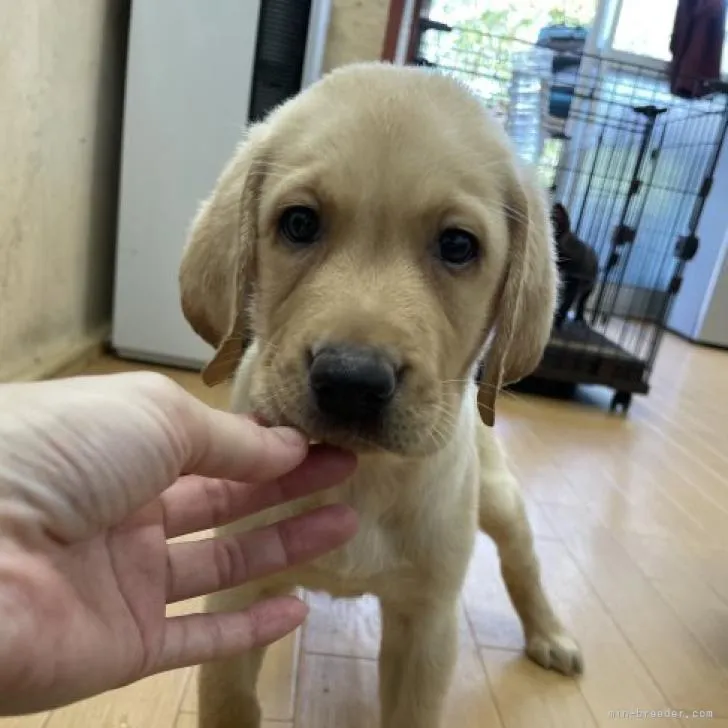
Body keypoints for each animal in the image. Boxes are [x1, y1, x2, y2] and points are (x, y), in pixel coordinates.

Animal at [179, 62, 584, 728]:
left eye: (457, 245)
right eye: (299, 224)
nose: (351, 382)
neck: (361, 477)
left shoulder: (426, 628)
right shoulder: (237, 598)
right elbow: (231, 701)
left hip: (497, 497)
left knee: (522, 562)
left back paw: (550, 633)